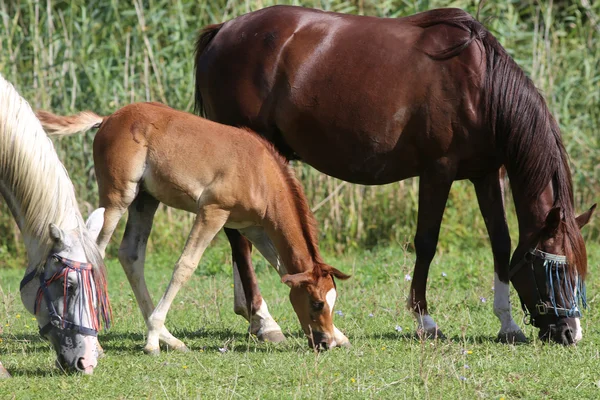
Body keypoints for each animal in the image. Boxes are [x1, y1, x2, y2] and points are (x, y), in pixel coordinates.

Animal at [38, 102, 352, 354]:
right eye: (316, 303)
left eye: (332, 300)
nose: (324, 343)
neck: (260, 173)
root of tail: (109, 118)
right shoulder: (212, 212)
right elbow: (184, 266)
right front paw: (151, 341)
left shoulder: (253, 227)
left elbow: (281, 267)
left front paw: (339, 335)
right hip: (118, 198)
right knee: (97, 253)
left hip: (145, 200)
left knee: (130, 255)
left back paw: (168, 339)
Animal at [196, 5, 596, 344]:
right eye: (554, 268)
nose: (570, 334)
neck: (481, 87)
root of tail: (222, 31)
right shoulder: (438, 171)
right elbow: (426, 242)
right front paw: (425, 321)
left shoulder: (486, 174)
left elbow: (500, 243)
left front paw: (508, 324)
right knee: (238, 239)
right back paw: (263, 321)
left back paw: (253, 312)